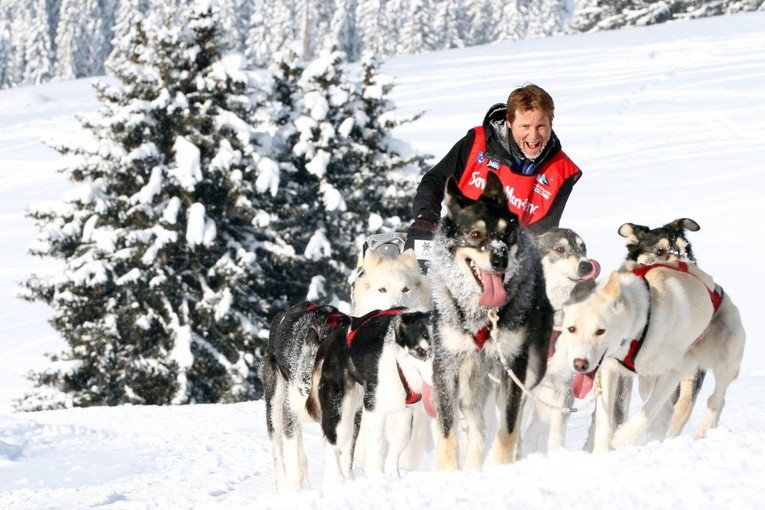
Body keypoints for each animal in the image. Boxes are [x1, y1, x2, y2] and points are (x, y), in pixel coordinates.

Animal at [318, 308, 436, 488]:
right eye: (420, 351)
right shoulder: (374, 410)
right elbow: (377, 446)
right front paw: (377, 477)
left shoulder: (404, 411)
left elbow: (400, 440)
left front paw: (393, 474)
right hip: (340, 411)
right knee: (332, 443)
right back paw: (337, 480)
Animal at [430, 172, 548, 470]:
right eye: (475, 234)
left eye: (507, 232)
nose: (500, 259)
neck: (480, 314)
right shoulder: (446, 364)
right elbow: (447, 428)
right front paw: (447, 470)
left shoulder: (514, 363)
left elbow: (508, 424)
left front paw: (501, 465)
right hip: (471, 380)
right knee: (476, 425)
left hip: (528, 370)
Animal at [560, 260, 744, 452]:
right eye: (571, 329)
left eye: (600, 331)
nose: (580, 364)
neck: (639, 326)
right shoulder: (609, 370)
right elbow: (604, 419)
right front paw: (602, 451)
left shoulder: (673, 371)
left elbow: (648, 410)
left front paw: (623, 437)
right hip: (646, 379)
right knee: (667, 410)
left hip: (725, 354)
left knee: (717, 397)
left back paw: (704, 427)